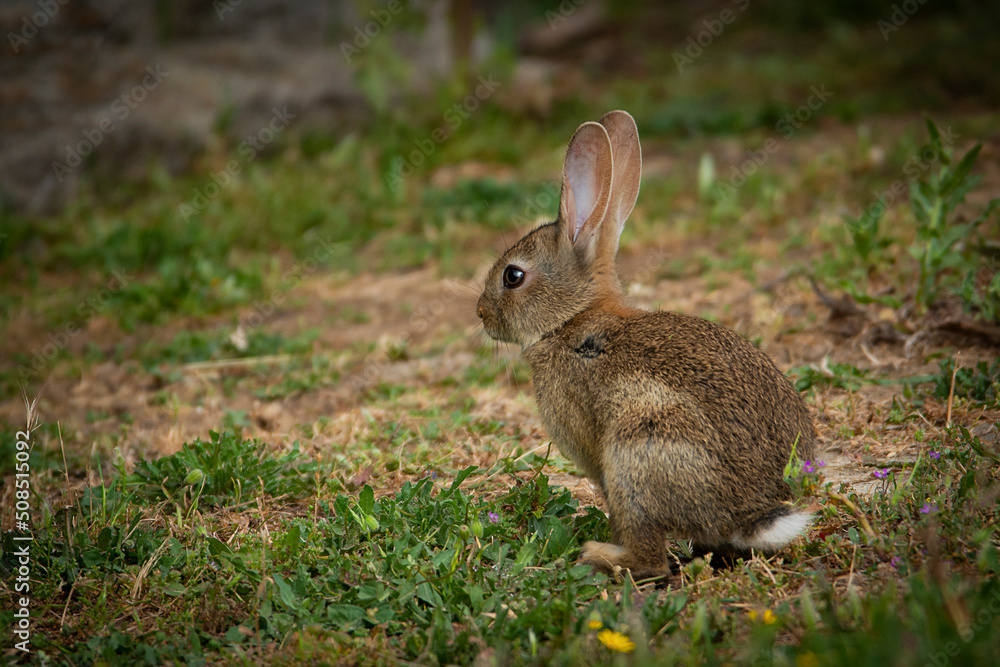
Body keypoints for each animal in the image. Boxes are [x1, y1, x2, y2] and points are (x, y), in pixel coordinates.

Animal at [475, 110, 817, 580]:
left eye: (513, 276)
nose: (480, 313)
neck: (570, 322)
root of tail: (749, 514)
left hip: (637, 451)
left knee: (652, 558)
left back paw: (597, 554)